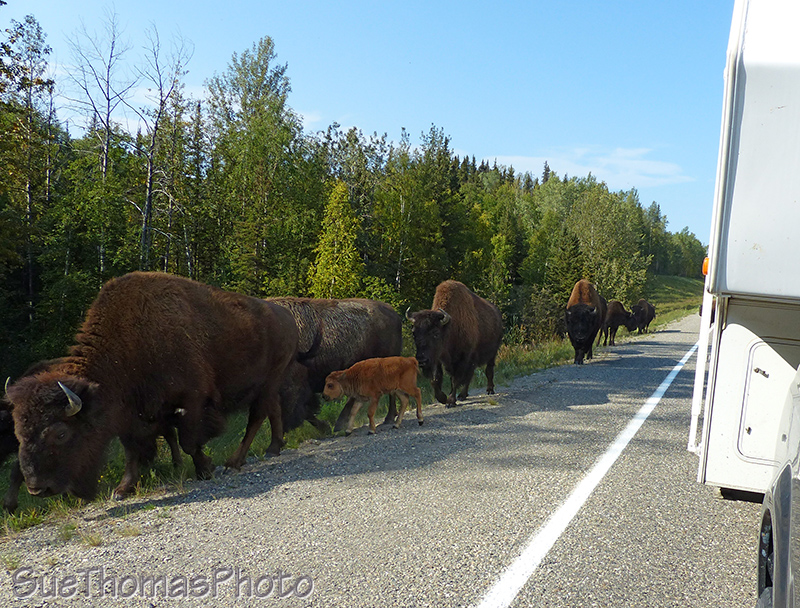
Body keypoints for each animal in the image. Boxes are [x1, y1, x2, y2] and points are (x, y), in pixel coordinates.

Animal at [5, 272, 299, 502]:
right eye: (18, 433)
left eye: (61, 433)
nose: (37, 488)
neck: (128, 346)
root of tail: (285, 314)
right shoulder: (128, 415)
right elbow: (132, 450)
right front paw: (122, 490)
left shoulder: (192, 400)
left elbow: (189, 441)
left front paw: (206, 469)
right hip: (269, 384)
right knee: (273, 410)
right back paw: (274, 447)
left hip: (268, 381)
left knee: (256, 417)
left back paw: (234, 462)